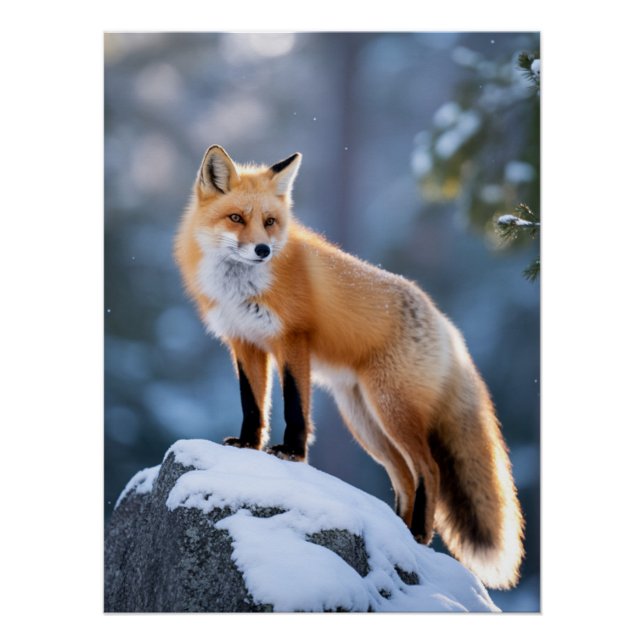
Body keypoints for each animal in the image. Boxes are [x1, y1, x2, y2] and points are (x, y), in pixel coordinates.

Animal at [174, 145, 525, 589]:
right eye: (236, 218)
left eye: (270, 222)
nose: (263, 250)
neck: (241, 286)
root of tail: (446, 325)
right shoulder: (244, 343)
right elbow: (253, 405)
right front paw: (249, 446)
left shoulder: (293, 340)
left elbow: (294, 405)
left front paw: (291, 452)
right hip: (365, 421)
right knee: (405, 477)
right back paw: (399, 535)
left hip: (390, 409)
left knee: (428, 469)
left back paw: (418, 534)